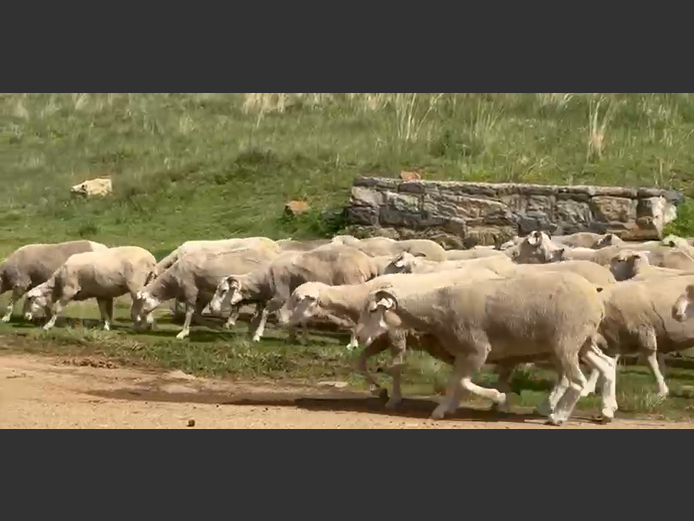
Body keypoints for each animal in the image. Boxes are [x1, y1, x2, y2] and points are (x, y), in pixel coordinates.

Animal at [25, 246, 157, 332]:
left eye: (30, 299)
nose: (26, 316)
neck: (57, 284)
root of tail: (151, 260)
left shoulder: (69, 290)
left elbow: (57, 309)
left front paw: (48, 326)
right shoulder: (101, 294)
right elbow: (103, 310)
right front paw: (106, 326)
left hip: (135, 284)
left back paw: (142, 324)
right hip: (149, 281)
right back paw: (149, 324)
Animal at [131, 246, 281, 339]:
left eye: (141, 301)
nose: (137, 318)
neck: (173, 282)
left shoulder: (190, 288)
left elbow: (190, 311)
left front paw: (183, 332)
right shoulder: (202, 291)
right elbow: (197, 310)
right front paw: (203, 322)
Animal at [208, 245, 382, 343]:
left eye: (224, 290)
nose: (211, 308)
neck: (266, 279)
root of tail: (369, 265)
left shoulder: (282, 295)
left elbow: (266, 312)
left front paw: (257, 335)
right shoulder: (296, 298)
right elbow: (295, 317)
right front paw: (298, 337)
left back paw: (353, 343)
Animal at [355, 271, 617, 426]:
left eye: (373, 310)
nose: (358, 335)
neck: (439, 308)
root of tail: (596, 300)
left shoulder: (478, 349)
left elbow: (462, 382)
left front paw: (499, 397)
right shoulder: (463, 353)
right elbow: (454, 382)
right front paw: (443, 409)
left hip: (566, 343)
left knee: (577, 380)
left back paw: (558, 416)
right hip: (583, 342)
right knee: (606, 365)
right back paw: (607, 411)